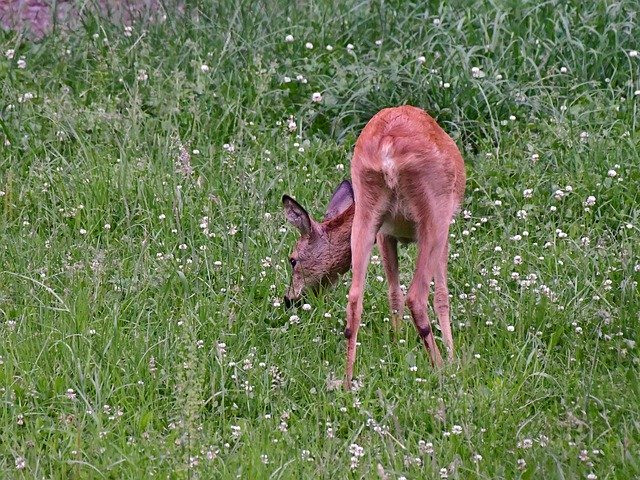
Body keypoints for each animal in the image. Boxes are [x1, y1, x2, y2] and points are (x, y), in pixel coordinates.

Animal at [282, 105, 462, 390]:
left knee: (355, 298)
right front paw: (452, 356)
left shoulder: (385, 234)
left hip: (368, 209)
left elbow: (393, 293)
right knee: (417, 296)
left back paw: (347, 381)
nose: (289, 299)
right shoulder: (443, 231)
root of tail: (388, 149)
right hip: (434, 214)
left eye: (292, 259)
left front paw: (397, 344)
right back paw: (443, 369)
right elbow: (442, 296)